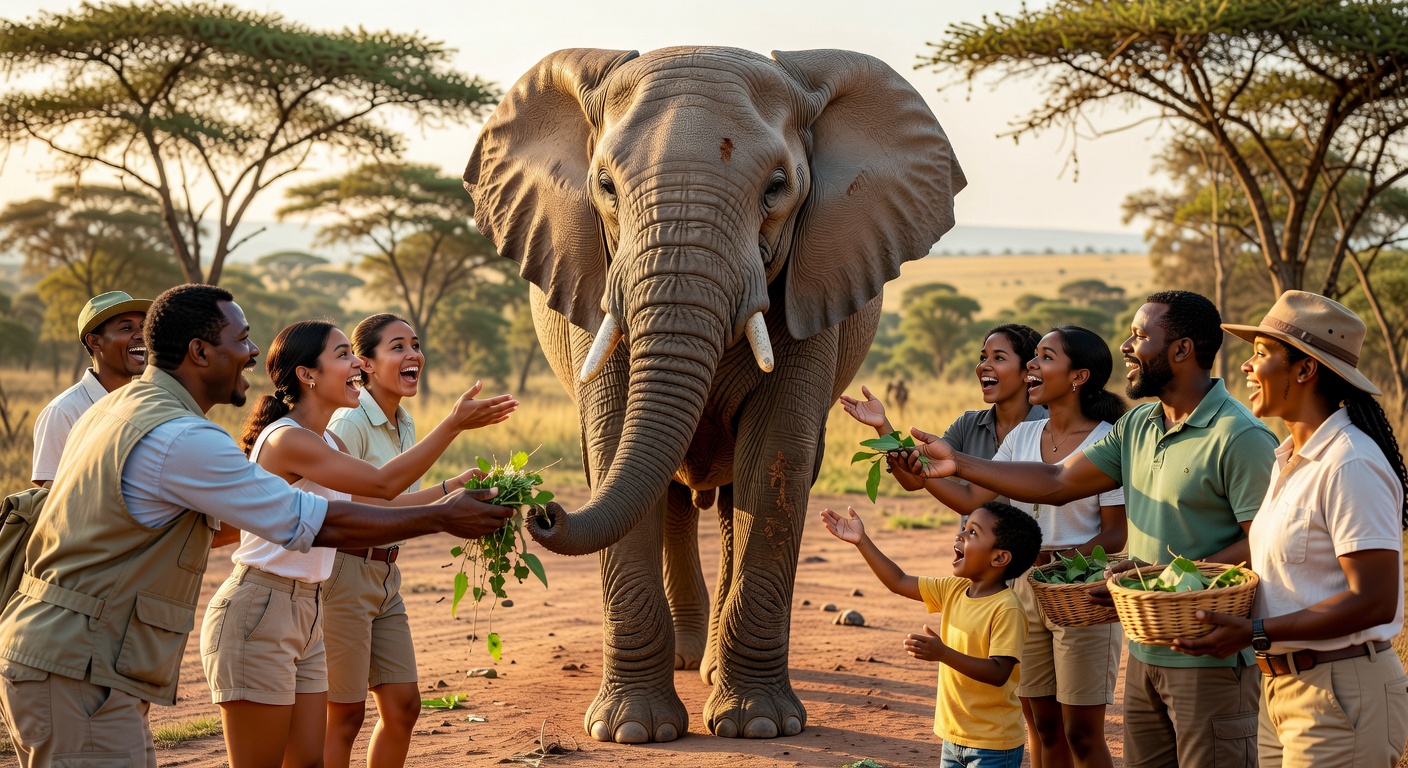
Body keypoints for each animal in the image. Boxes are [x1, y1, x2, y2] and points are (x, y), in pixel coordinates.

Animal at [463, 46, 964, 744]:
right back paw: (685, 659)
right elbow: (613, 443)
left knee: (730, 498)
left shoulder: (813, 283)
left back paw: (709, 670)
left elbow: (775, 458)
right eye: (605, 187)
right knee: (669, 493)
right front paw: (631, 732)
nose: (542, 511)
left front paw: (761, 726)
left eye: (777, 187)